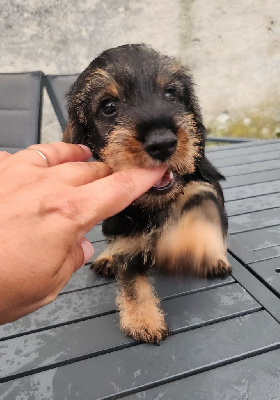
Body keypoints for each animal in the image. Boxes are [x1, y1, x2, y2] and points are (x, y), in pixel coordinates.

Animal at [64, 43, 232, 344]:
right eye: (109, 107)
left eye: (170, 94)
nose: (162, 143)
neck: (152, 206)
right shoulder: (126, 235)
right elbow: (131, 280)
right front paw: (143, 320)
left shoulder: (204, 187)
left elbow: (198, 208)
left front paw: (187, 247)